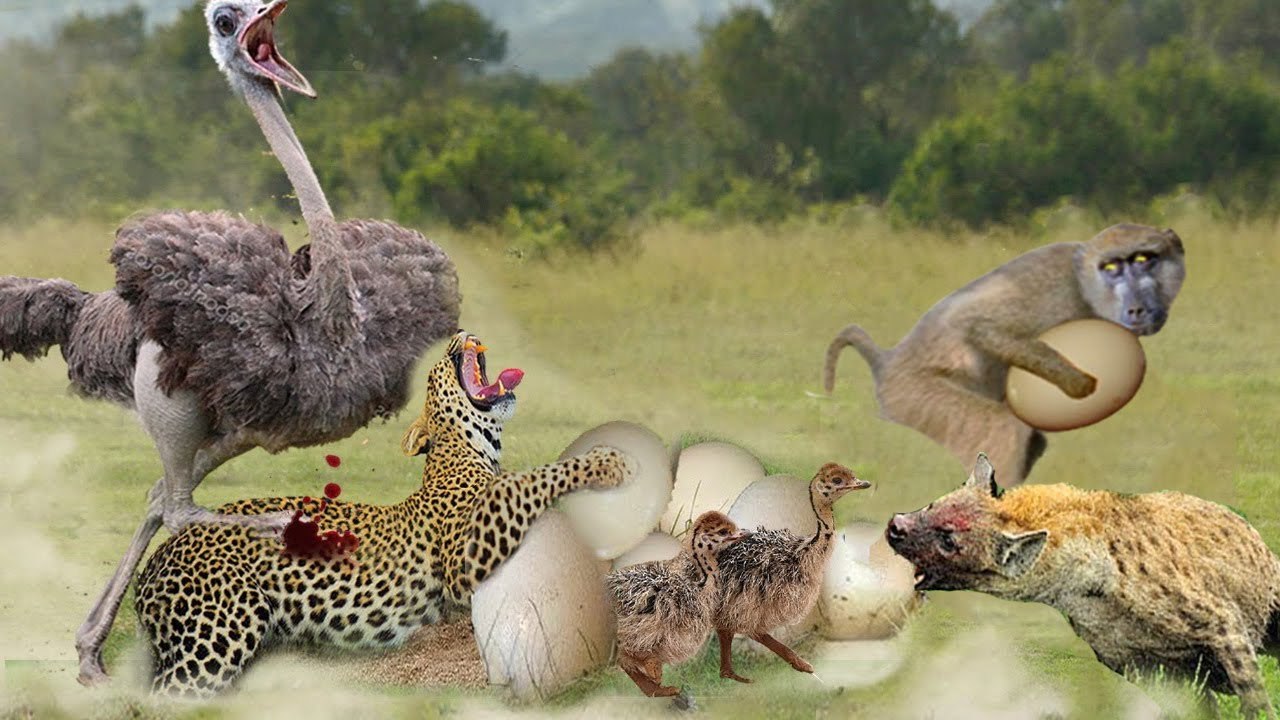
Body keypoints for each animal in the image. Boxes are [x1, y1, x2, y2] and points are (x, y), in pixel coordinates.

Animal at [133, 330, 636, 697]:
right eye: (437, 371)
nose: (460, 333)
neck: (469, 453)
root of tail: (156, 560)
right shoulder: (463, 562)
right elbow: (526, 480)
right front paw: (607, 462)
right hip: (218, 633)